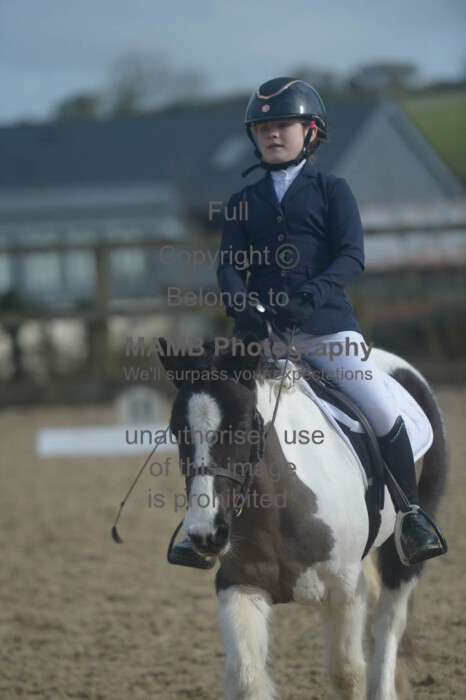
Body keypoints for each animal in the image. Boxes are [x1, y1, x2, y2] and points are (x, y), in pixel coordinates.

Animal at [157, 333, 448, 700]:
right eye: (176, 430)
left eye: (242, 426)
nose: (206, 534)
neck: (279, 510)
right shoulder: (239, 585)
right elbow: (246, 676)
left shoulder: (344, 589)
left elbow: (346, 674)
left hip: (405, 552)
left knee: (388, 621)